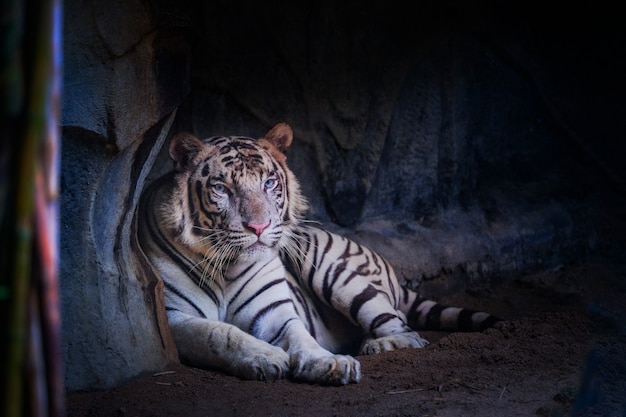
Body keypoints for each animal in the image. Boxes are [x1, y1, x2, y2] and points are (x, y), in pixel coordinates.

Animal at [135, 122, 498, 386]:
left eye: (269, 183)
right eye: (221, 188)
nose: (259, 227)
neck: (227, 267)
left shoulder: (275, 312)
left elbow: (300, 336)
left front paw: (330, 363)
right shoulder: (172, 316)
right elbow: (219, 333)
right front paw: (267, 357)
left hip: (332, 271)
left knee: (405, 329)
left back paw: (376, 346)